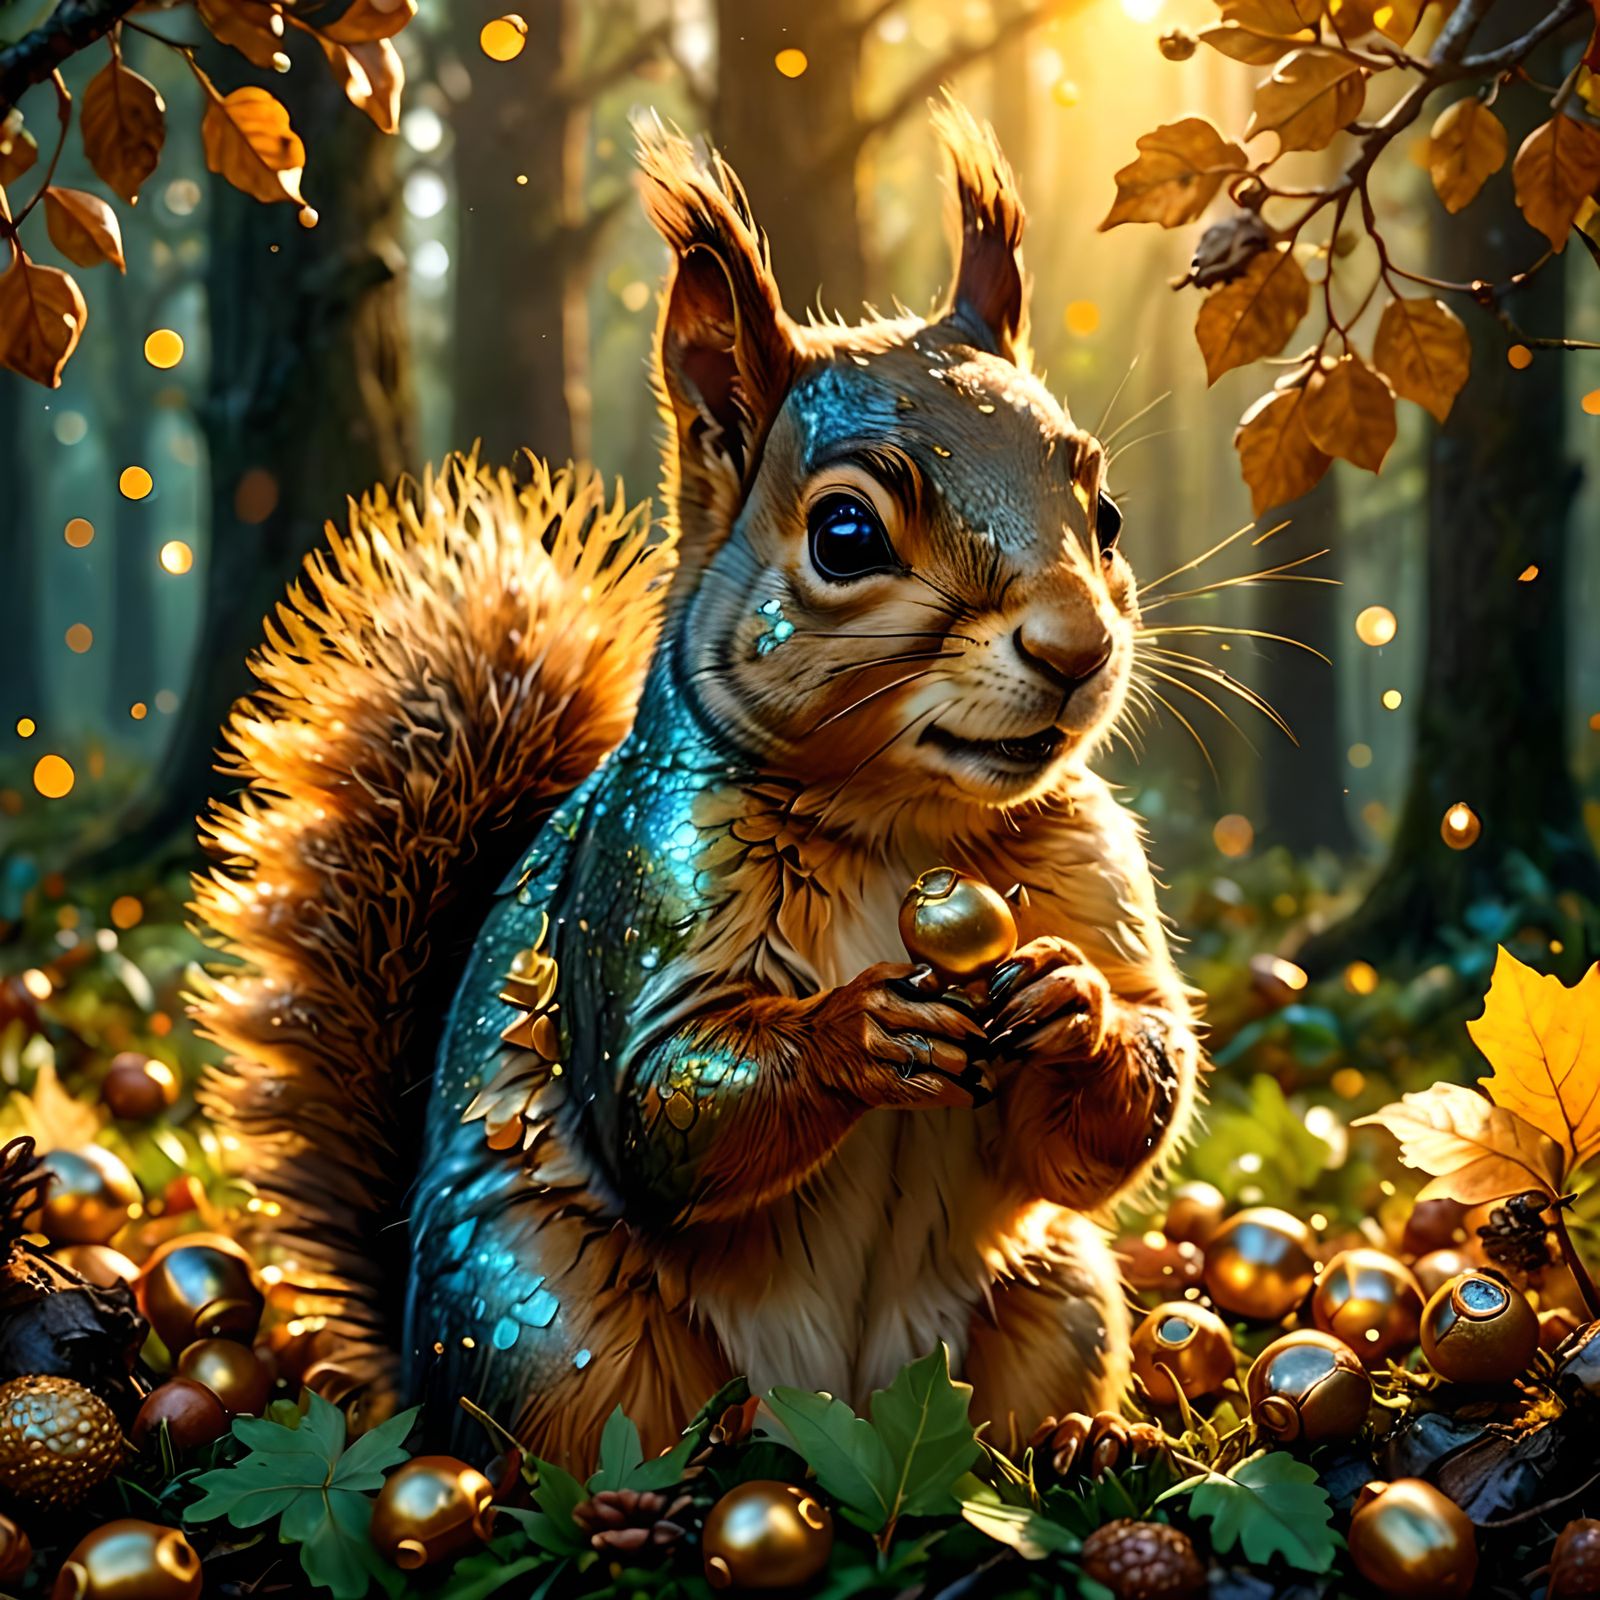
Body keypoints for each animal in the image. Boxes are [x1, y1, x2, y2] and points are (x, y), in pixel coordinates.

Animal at [193, 97, 1203, 1471]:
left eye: (1104, 518)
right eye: (844, 535)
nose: (1075, 647)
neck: (905, 827)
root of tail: (835, 1420)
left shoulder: (1100, 872)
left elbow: (1130, 1095)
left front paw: (1074, 1005)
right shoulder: (644, 872)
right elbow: (664, 1107)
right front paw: (855, 1031)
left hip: (1056, 1289)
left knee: (1021, 1382)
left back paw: (1086, 1442)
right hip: (546, 1311)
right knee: (565, 1445)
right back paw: (649, 1494)